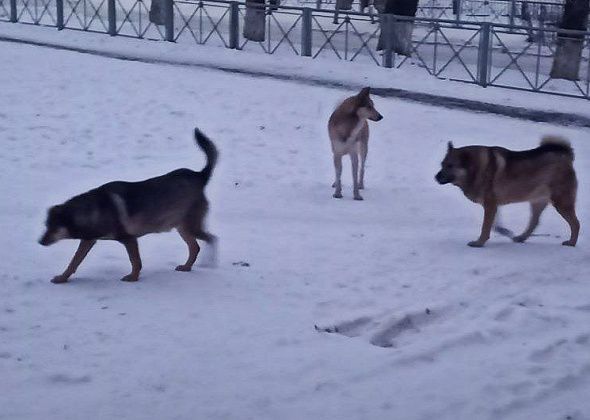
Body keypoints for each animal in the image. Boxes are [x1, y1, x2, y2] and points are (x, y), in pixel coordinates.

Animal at [40, 127, 220, 282]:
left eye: (53, 227)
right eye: (46, 225)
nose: (40, 242)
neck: (91, 210)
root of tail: (199, 176)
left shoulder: (129, 239)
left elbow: (135, 262)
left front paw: (133, 278)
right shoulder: (88, 240)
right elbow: (74, 262)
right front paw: (62, 278)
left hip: (191, 226)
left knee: (212, 239)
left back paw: (209, 263)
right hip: (182, 227)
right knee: (195, 247)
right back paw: (186, 267)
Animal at [438, 135, 580, 248]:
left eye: (450, 165)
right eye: (442, 164)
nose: (436, 177)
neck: (475, 168)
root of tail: (566, 157)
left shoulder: (490, 205)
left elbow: (485, 226)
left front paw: (479, 243)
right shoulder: (493, 205)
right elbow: (493, 224)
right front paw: (502, 231)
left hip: (561, 203)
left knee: (576, 224)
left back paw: (571, 243)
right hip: (537, 201)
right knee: (534, 222)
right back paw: (521, 238)